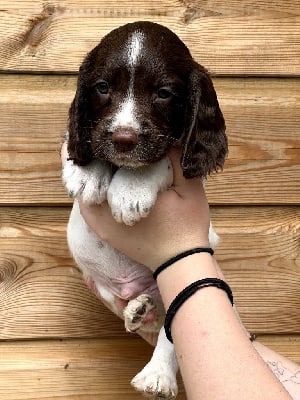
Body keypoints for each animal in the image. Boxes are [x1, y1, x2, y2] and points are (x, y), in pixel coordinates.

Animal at [63, 21, 227, 400]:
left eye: (164, 93)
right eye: (102, 87)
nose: (124, 139)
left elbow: (159, 158)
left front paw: (130, 189)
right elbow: (84, 138)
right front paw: (85, 173)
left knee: (169, 332)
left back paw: (157, 375)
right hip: (103, 287)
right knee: (141, 315)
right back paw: (139, 311)